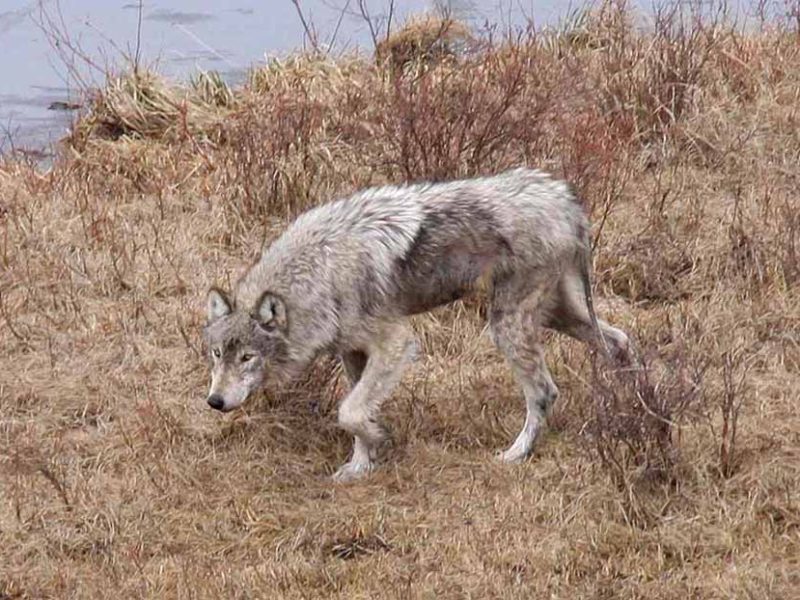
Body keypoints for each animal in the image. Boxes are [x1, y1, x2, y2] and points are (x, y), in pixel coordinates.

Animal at [202, 168, 632, 482]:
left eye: (247, 357)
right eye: (217, 354)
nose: (214, 402)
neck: (321, 270)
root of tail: (563, 197)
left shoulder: (396, 344)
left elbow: (349, 411)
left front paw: (378, 439)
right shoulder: (351, 350)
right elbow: (355, 408)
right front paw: (360, 466)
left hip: (507, 325)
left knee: (545, 392)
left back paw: (515, 454)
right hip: (560, 315)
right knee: (619, 340)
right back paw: (626, 398)